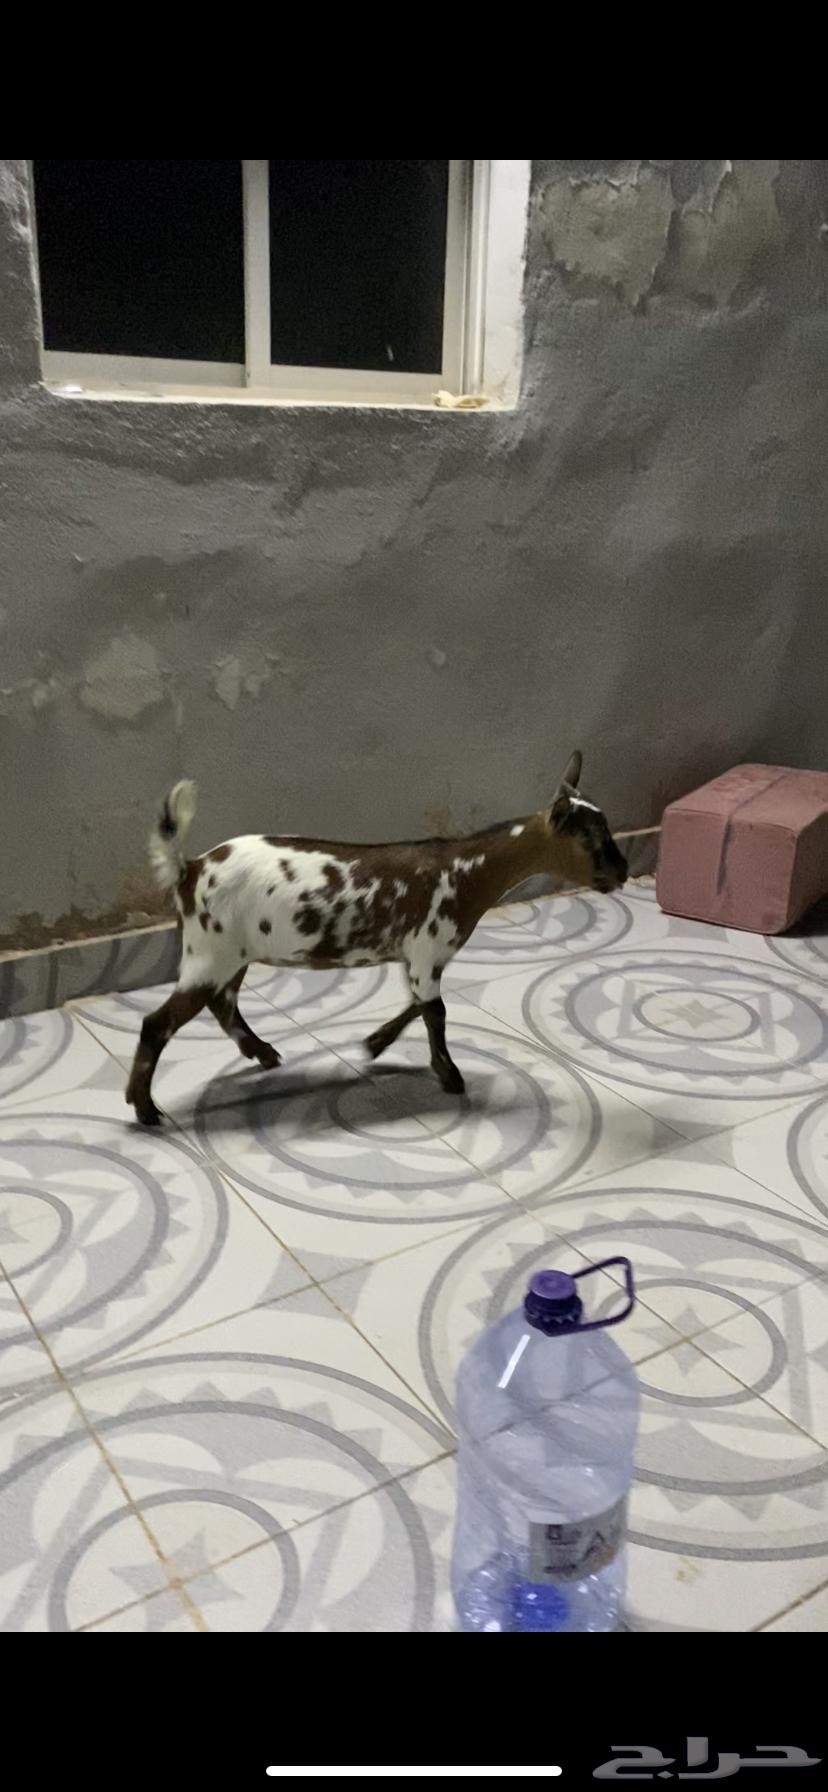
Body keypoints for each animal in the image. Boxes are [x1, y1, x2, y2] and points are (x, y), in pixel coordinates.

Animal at [126, 752, 628, 1126]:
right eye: (590, 841)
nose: (621, 873)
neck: (466, 870)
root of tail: (190, 869)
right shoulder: (427, 949)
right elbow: (435, 1012)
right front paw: (450, 1076)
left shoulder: (416, 955)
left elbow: (417, 1005)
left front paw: (375, 1043)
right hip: (211, 952)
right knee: (158, 1023)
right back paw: (145, 1109)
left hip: (231, 954)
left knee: (222, 1004)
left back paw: (262, 1053)